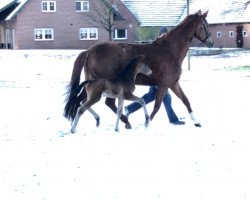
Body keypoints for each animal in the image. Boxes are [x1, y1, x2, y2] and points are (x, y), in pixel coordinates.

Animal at [64, 9, 213, 128]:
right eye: (204, 25)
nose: (211, 43)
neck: (171, 50)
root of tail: (89, 50)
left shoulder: (173, 83)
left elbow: (186, 100)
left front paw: (196, 122)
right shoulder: (164, 84)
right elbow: (157, 105)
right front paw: (147, 123)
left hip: (92, 84)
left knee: (81, 100)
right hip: (101, 85)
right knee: (102, 102)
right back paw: (122, 121)